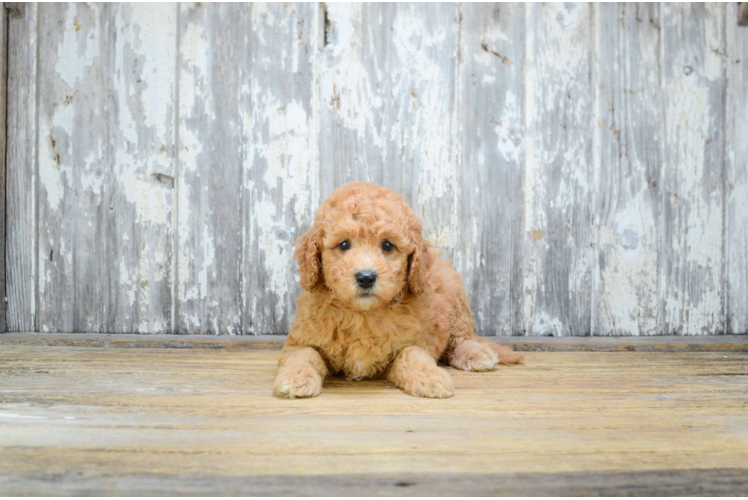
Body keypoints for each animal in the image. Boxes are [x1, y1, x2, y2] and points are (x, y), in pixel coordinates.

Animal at [272, 181, 524, 398]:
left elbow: (411, 355)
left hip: (457, 301)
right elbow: (304, 354)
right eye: (343, 244)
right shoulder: (300, 340)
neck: (363, 315)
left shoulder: (415, 340)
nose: (366, 277)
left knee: (462, 337)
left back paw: (476, 354)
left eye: (387, 245)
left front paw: (430, 377)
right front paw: (295, 379)